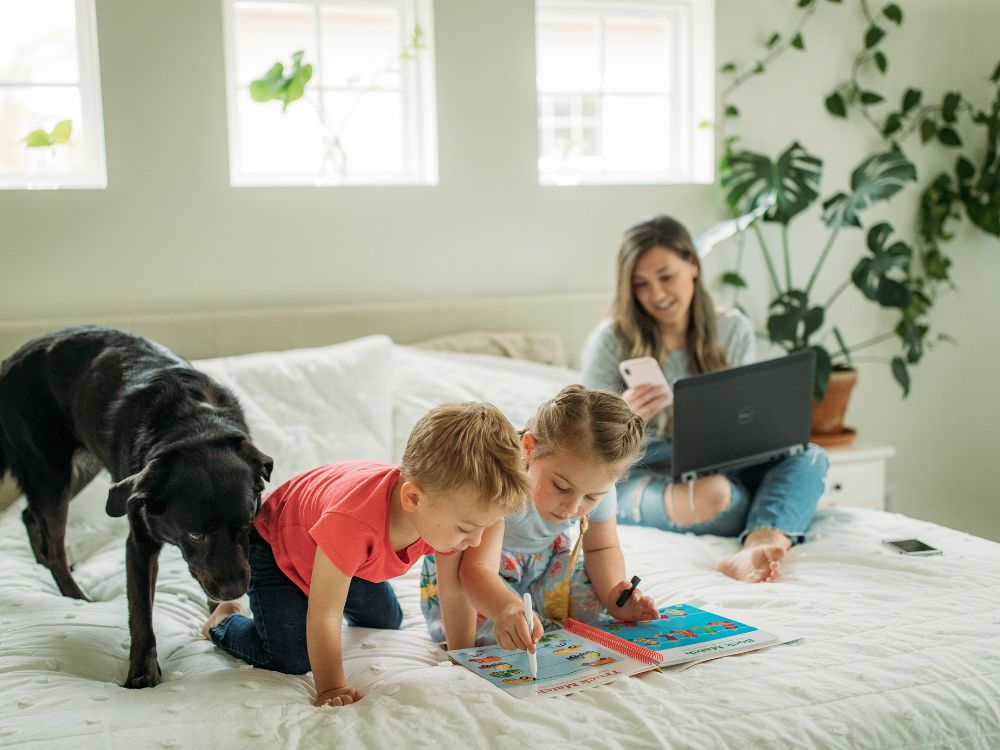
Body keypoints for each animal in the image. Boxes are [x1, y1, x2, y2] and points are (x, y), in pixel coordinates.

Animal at [0, 326, 274, 692]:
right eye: (195, 534)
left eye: (246, 524)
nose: (235, 590)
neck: (195, 427)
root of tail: (11, 359)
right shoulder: (140, 543)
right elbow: (141, 612)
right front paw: (142, 674)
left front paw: (219, 613)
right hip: (52, 472)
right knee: (52, 539)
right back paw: (75, 596)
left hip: (82, 465)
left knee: (30, 515)